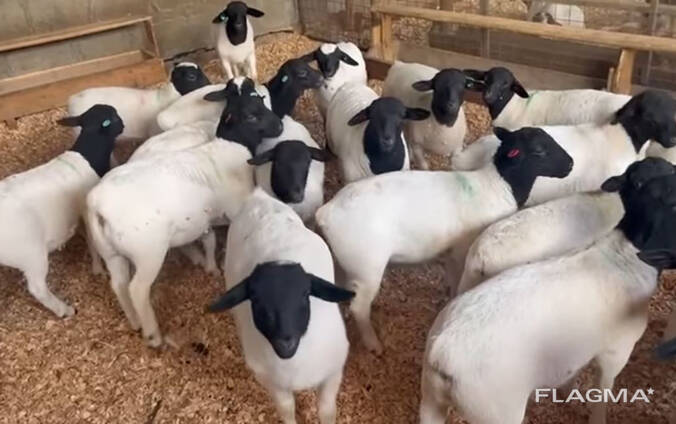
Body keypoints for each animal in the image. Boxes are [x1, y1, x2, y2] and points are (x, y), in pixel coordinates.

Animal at [0, 104, 122, 317]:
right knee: (38, 288)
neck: (88, 155)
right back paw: (64, 310)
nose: (123, 124)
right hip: (32, 255)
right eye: (112, 118)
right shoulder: (85, 211)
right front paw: (98, 269)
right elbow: (92, 242)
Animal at [86, 79, 283, 347]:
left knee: (118, 284)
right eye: (252, 115)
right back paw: (152, 335)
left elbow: (209, 240)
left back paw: (135, 321)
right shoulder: (235, 211)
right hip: (148, 252)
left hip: (111, 253)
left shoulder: (204, 218)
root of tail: (98, 206)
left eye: (261, 100)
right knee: (137, 289)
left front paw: (210, 266)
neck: (230, 147)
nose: (280, 125)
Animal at [208, 188, 354, 424]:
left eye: (305, 294)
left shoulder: (333, 372)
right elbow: (286, 409)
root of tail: (259, 197)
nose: (285, 343)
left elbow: (326, 409)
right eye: (255, 299)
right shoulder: (272, 382)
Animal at [315, 126, 573, 353]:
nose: (570, 164)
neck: (499, 186)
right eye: (539, 150)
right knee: (359, 307)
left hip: (344, 262)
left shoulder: (451, 253)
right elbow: (456, 281)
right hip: (367, 266)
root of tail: (326, 212)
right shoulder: (461, 252)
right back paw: (373, 343)